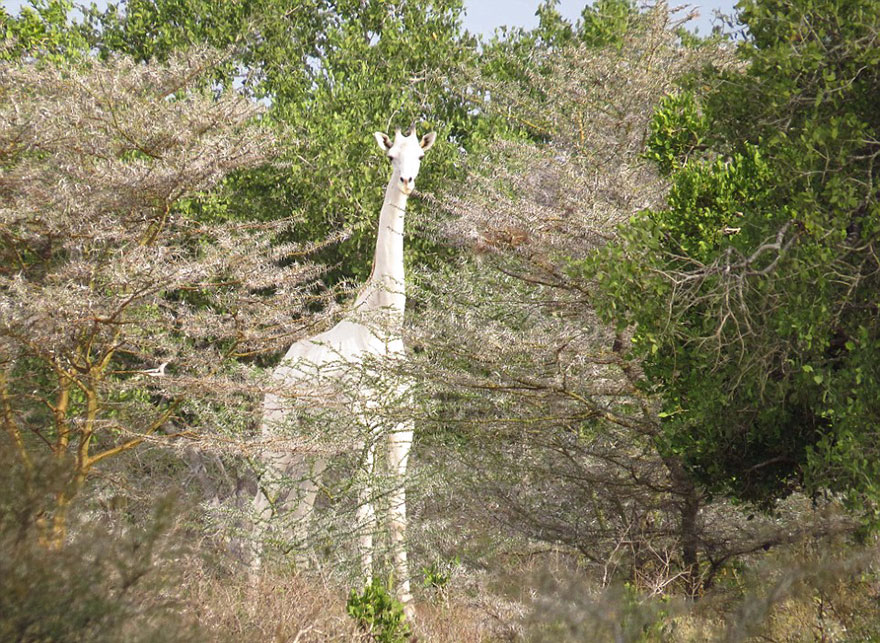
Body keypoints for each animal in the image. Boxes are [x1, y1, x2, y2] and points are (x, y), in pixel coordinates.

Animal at [251, 128, 436, 612]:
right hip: (279, 434)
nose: (407, 182)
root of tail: (278, 372)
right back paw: (250, 591)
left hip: (317, 447)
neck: (385, 326)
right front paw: (368, 596)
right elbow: (366, 513)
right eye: (390, 156)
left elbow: (396, 515)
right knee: (261, 507)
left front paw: (407, 609)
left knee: (299, 512)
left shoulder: (401, 428)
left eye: (420, 155)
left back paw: (298, 583)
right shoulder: (365, 425)